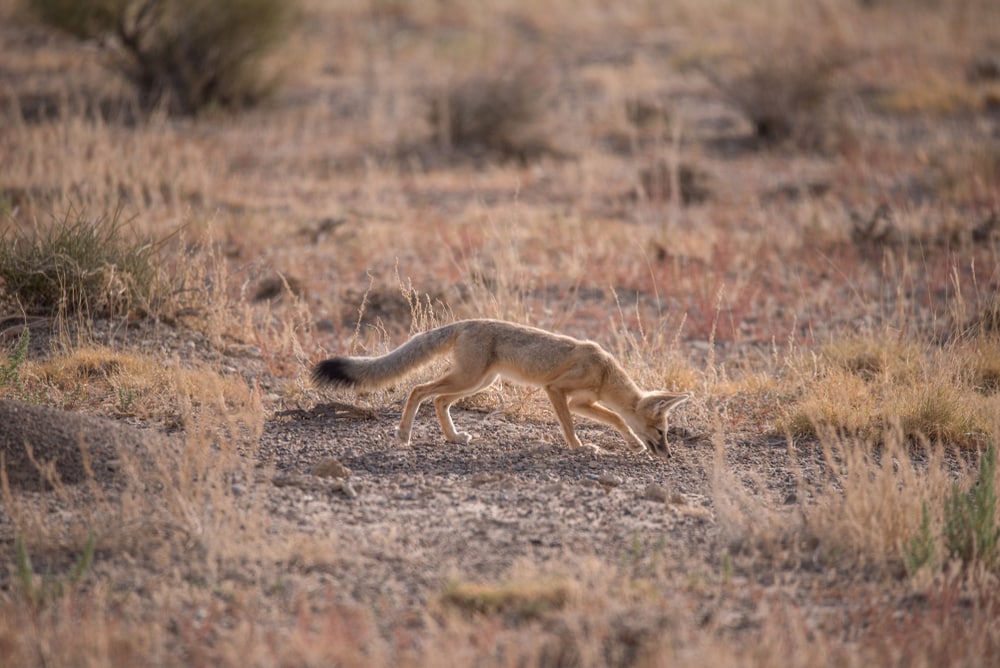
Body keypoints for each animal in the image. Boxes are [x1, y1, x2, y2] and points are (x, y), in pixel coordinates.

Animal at [312, 320, 691, 457]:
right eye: (661, 431)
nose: (669, 455)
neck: (604, 371)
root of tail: (464, 323)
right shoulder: (556, 391)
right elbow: (571, 425)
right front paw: (580, 447)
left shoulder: (582, 401)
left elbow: (617, 419)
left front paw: (631, 443)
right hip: (470, 380)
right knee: (419, 390)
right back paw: (404, 435)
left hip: (478, 382)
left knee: (439, 400)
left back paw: (454, 438)